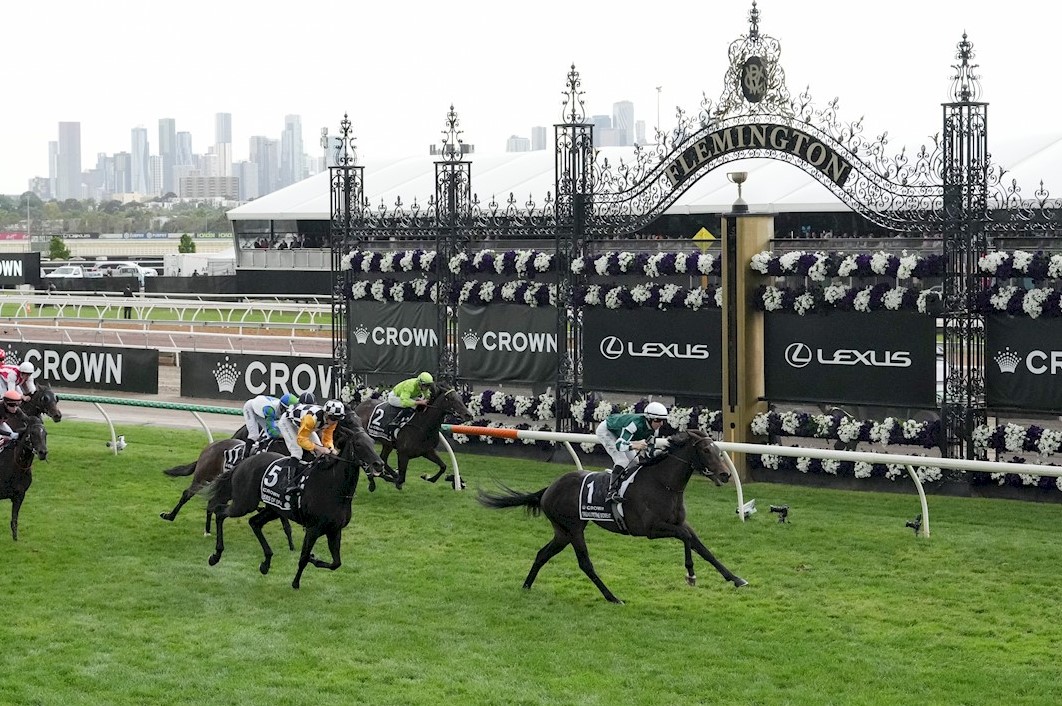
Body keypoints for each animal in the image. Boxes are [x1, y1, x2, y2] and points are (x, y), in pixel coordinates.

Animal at [157, 435, 293, 543]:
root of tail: (211, 446)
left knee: (211, 503)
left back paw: (207, 530)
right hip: (202, 477)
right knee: (188, 494)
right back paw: (169, 516)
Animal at [203, 414, 386, 590]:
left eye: (372, 443)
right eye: (358, 444)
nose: (379, 464)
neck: (334, 489)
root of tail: (244, 462)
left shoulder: (334, 530)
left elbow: (336, 563)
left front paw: (314, 559)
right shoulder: (313, 529)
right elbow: (303, 557)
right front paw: (296, 583)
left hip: (273, 509)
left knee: (254, 522)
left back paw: (266, 563)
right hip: (244, 503)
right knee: (220, 512)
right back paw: (216, 555)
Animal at [477, 426, 743, 603]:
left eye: (718, 450)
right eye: (706, 450)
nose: (725, 475)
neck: (663, 484)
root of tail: (549, 489)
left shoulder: (680, 523)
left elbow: (701, 547)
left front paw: (735, 579)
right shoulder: (651, 529)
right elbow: (687, 540)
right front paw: (691, 574)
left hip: (562, 532)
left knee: (543, 554)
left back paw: (526, 585)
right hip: (573, 529)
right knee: (585, 563)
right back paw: (612, 597)